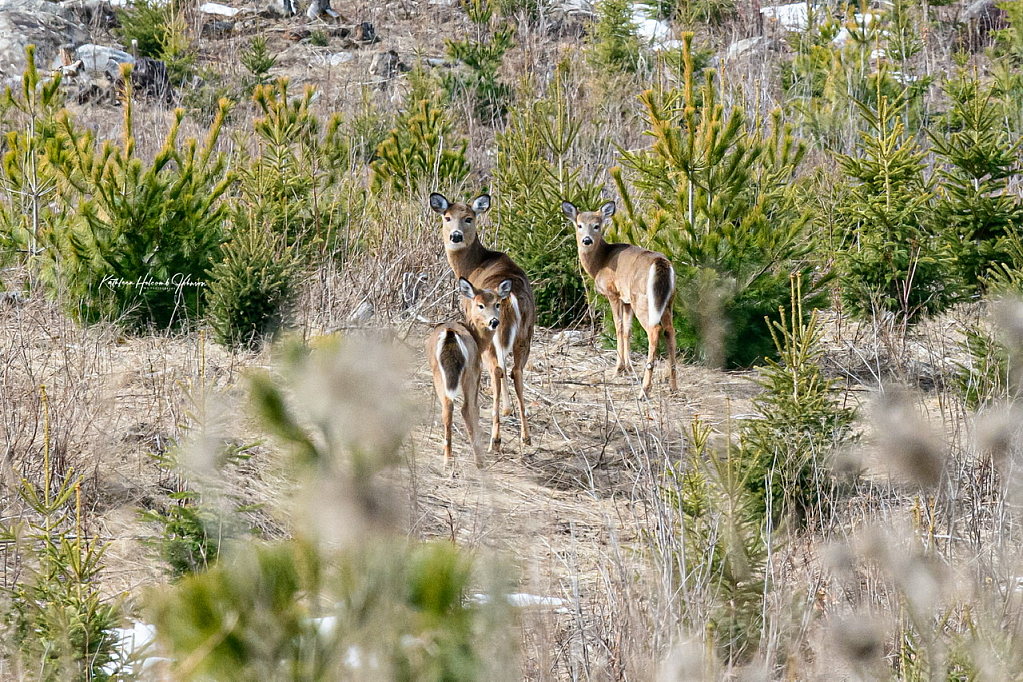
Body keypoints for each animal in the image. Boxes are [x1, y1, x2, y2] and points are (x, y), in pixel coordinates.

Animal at [423, 278, 511, 470]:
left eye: (497, 304)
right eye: (480, 305)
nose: (494, 322)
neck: (477, 338)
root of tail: (450, 335)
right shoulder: (476, 369)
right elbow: (474, 408)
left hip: (438, 372)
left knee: (447, 407)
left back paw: (447, 459)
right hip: (469, 371)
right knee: (466, 407)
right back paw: (478, 459)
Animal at [427, 192, 536, 453]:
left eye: (468, 218)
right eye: (447, 217)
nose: (455, 236)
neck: (472, 264)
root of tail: (510, 296)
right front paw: (508, 410)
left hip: (494, 332)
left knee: (496, 369)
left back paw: (495, 439)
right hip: (526, 332)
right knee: (516, 371)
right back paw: (526, 436)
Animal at [560, 198, 679, 394]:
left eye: (597, 225)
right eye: (579, 225)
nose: (586, 240)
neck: (600, 263)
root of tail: (660, 263)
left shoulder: (613, 293)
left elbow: (618, 327)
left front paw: (618, 368)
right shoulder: (626, 300)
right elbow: (628, 330)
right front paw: (628, 367)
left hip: (643, 299)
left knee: (654, 330)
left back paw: (644, 388)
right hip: (667, 301)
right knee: (670, 331)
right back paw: (673, 386)